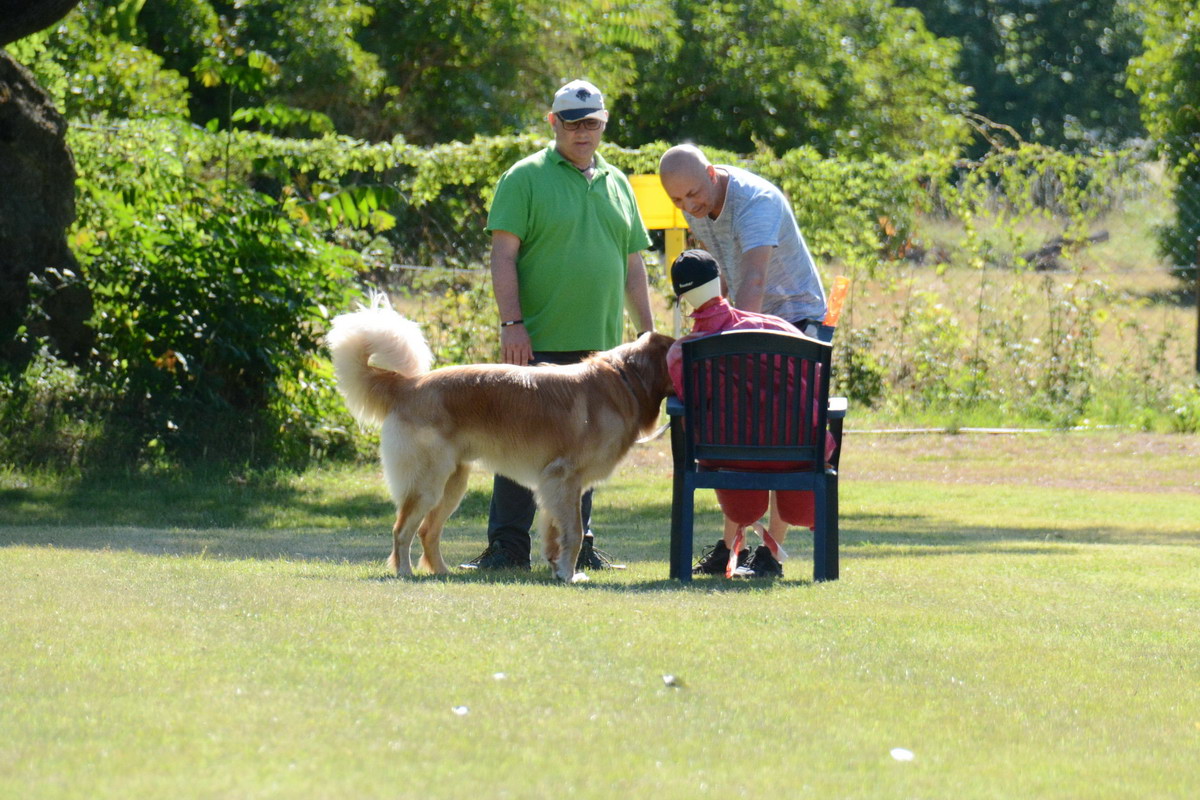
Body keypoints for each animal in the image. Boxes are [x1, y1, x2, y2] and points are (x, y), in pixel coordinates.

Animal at [326, 297, 676, 585]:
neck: (626, 380)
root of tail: (409, 386)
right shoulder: (564, 478)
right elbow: (574, 532)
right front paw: (567, 572)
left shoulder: (552, 485)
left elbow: (554, 532)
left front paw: (558, 568)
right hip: (428, 483)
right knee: (402, 529)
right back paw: (405, 572)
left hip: (453, 483)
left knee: (427, 531)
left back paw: (442, 573)